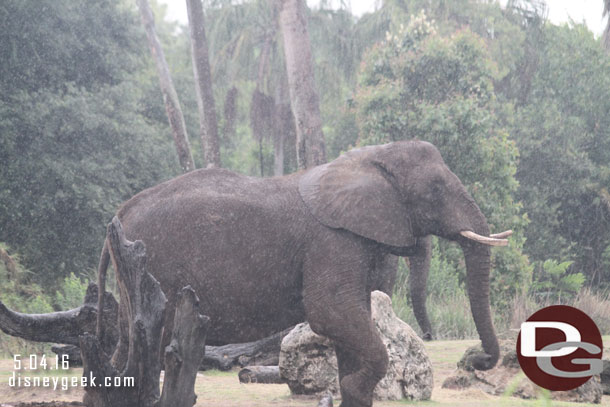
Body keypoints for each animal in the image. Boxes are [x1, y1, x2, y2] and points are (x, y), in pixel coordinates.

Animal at [94, 140, 508, 407]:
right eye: (435, 189)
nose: (475, 359)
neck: (367, 158)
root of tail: (119, 214)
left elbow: (353, 321)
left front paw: (351, 388)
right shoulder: (332, 240)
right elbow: (330, 313)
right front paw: (352, 383)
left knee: (126, 343)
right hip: (154, 268)